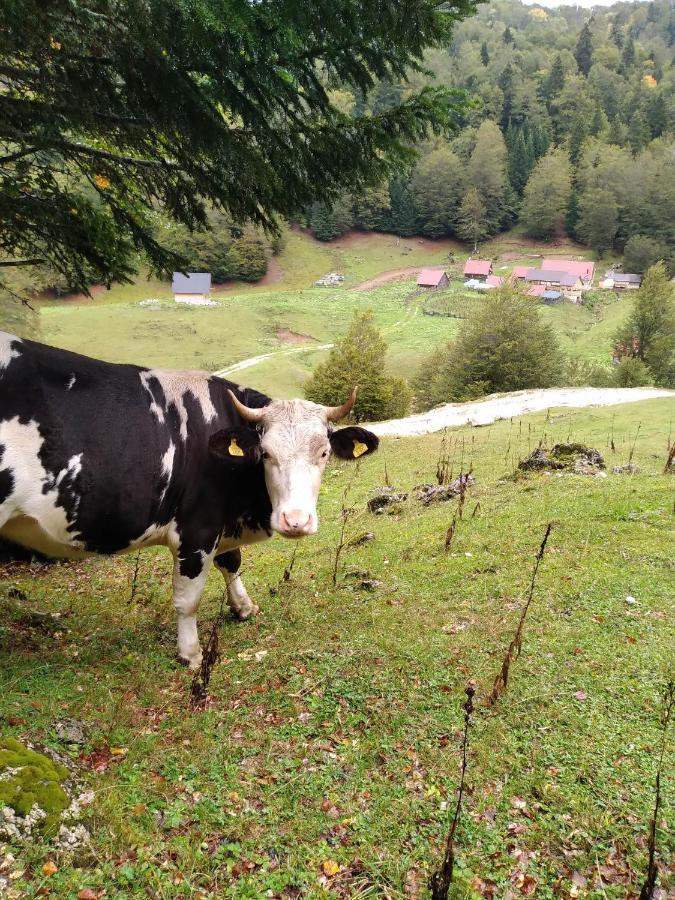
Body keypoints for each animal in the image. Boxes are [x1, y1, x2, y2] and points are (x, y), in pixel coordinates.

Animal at [0, 330, 380, 668]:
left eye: (324, 452)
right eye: (266, 453)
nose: (295, 521)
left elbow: (232, 562)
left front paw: (243, 607)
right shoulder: (197, 529)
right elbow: (188, 599)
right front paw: (191, 653)